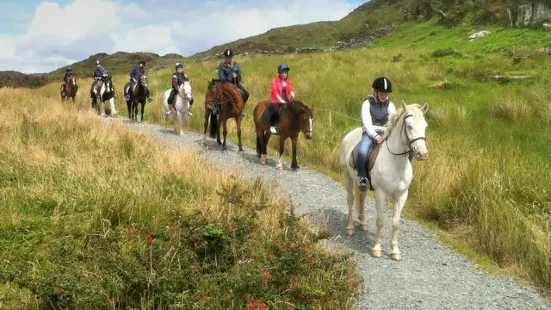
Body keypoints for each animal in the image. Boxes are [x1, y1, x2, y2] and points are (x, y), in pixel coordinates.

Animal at [340, 103, 432, 260]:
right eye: (409, 126)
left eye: (425, 126)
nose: (422, 154)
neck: (396, 162)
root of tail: (350, 134)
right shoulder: (380, 194)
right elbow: (381, 220)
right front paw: (377, 249)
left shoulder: (401, 195)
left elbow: (396, 222)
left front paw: (395, 251)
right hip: (347, 176)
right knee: (350, 200)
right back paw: (350, 228)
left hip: (362, 184)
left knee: (361, 198)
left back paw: (363, 223)